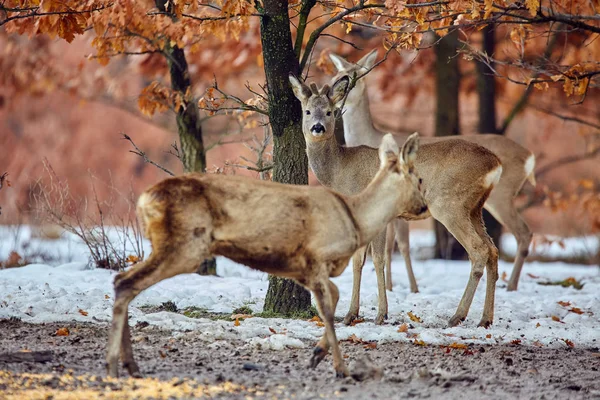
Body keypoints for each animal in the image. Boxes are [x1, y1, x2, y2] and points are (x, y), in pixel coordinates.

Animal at [105, 132, 428, 378]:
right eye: (419, 181)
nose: (424, 207)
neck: (356, 219)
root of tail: (144, 200)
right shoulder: (314, 260)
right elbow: (327, 309)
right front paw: (340, 368)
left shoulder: (305, 270)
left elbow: (333, 300)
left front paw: (318, 353)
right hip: (184, 245)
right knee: (127, 283)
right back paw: (114, 367)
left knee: (122, 280)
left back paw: (130, 366)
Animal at [290, 74, 502, 328]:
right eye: (307, 111)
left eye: (330, 112)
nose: (318, 127)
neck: (340, 171)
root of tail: (495, 163)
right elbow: (358, 261)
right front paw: (351, 314)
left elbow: (377, 259)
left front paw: (381, 314)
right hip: (474, 208)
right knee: (492, 250)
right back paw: (485, 319)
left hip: (449, 204)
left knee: (479, 250)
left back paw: (457, 316)